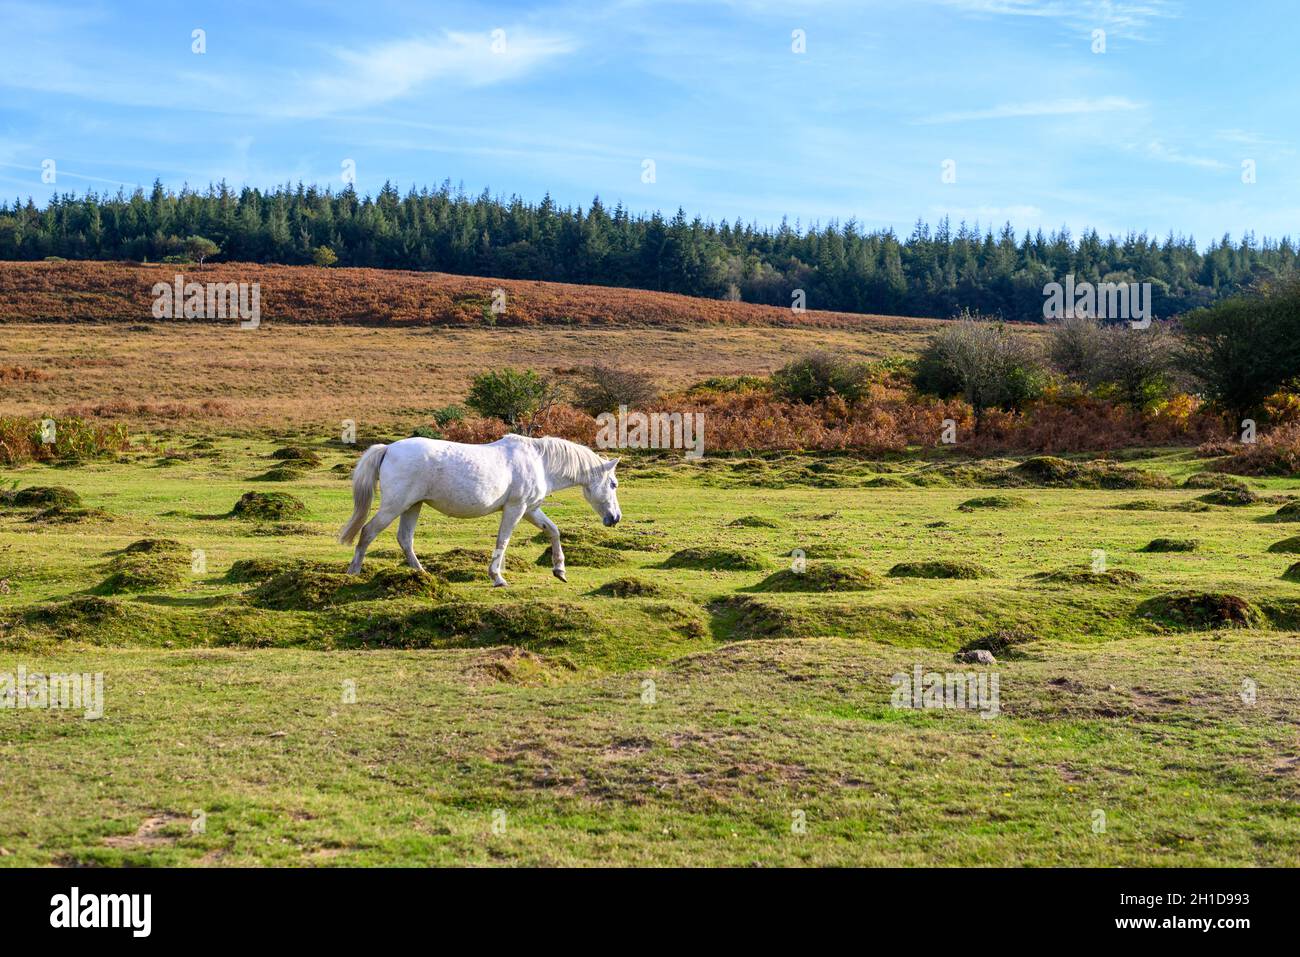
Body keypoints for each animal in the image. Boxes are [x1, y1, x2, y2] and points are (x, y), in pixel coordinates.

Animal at [335, 431, 618, 582]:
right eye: (613, 484)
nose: (615, 518)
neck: (539, 461)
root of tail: (388, 449)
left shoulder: (530, 510)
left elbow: (553, 531)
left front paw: (559, 570)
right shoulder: (516, 509)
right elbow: (503, 540)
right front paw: (497, 577)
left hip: (412, 506)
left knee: (405, 539)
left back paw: (423, 574)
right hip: (394, 506)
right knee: (368, 532)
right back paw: (353, 572)